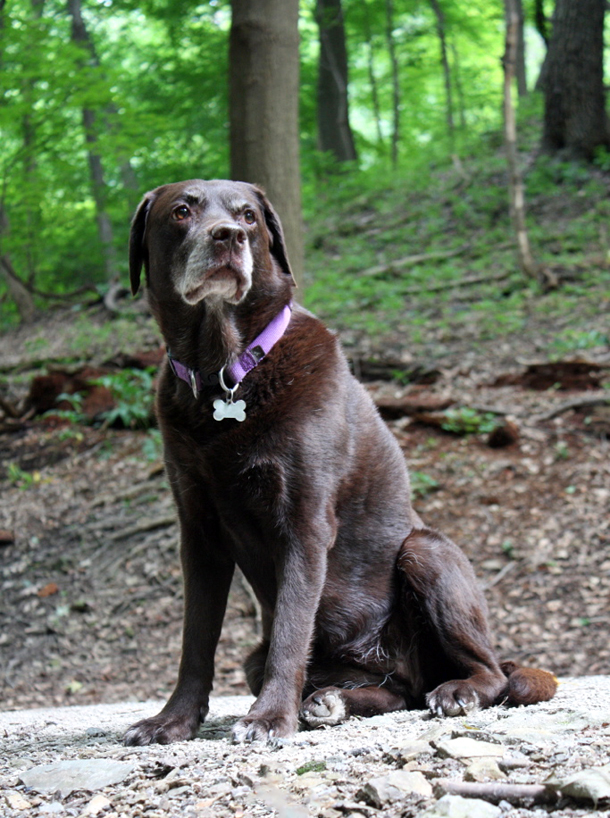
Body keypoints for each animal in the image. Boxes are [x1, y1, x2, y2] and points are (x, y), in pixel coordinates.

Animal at [123, 179, 556, 746]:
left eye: (248, 216)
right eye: (181, 211)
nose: (228, 236)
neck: (225, 371)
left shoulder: (304, 523)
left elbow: (290, 631)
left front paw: (269, 718)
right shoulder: (199, 534)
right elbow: (195, 640)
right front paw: (172, 721)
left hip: (426, 552)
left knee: (491, 673)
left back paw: (456, 691)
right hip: (277, 659)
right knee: (395, 693)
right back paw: (331, 701)